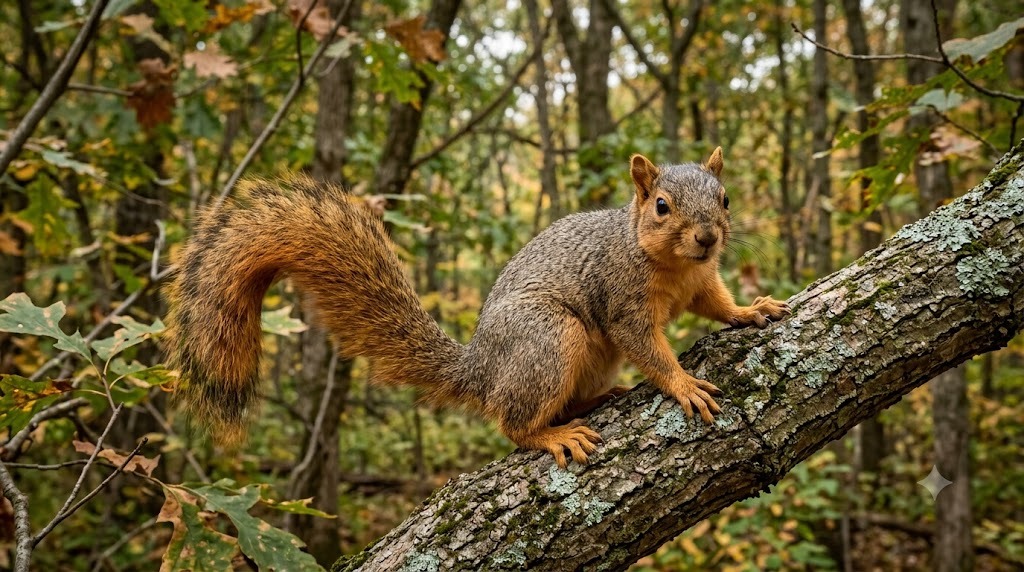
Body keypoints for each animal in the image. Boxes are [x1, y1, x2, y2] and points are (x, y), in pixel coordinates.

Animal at [165, 148, 790, 468]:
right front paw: (682, 383)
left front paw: (751, 309)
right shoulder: (621, 300)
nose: (708, 237)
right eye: (661, 206)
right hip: (549, 336)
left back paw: (595, 399)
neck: (674, 265)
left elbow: (717, 303)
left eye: (725, 198)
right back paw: (551, 436)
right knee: (511, 421)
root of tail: (481, 368)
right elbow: (649, 349)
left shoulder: (702, 281)